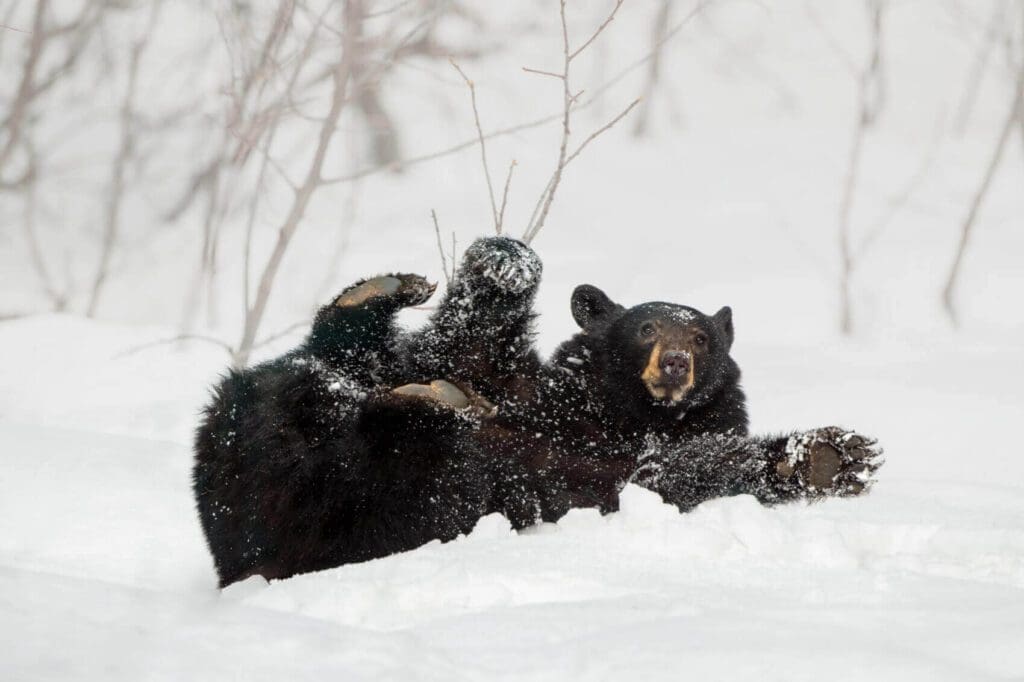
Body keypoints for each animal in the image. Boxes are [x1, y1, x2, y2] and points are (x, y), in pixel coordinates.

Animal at [195, 235, 884, 585]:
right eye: (645, 328)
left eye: (701, 339)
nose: (674, 365)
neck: (625, 415)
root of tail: (240, 556)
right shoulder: (539, 389)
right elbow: (469, 346)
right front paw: (504, 260)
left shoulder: (636, 460)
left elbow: (678, 472)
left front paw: (831, 454)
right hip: (298, 425)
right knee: (330, 365)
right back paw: (377, 303)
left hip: (387, 507)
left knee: (405, 463)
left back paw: (426, 403)